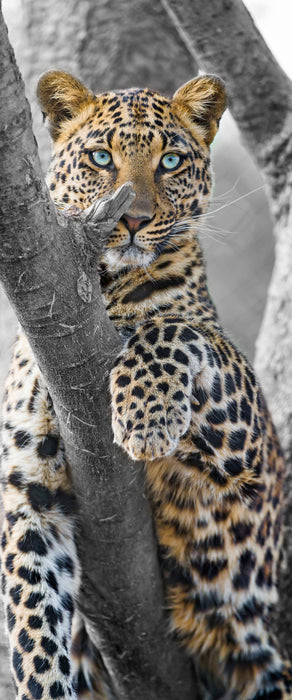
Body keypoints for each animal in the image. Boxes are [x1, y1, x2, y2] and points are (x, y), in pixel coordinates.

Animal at [1, 69, 290, 700]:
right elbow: (35, 626)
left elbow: (172, 327)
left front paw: (147, 419)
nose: (130, 219)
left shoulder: (248, 449)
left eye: (171, 161)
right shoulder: (26, 491)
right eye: (100, 157)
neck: (104, 291)